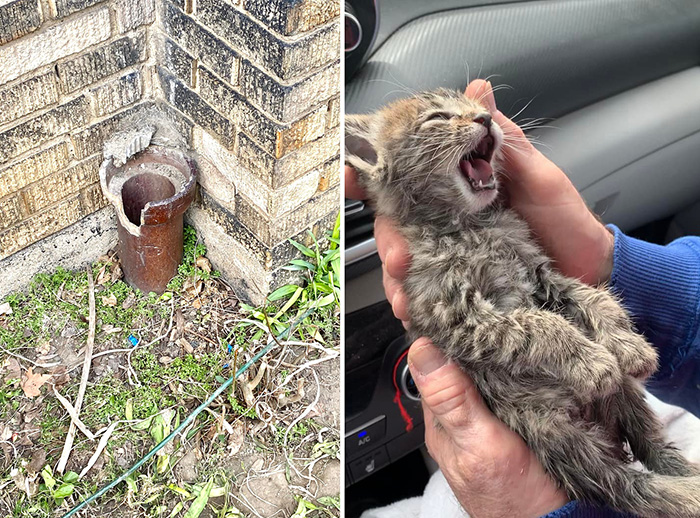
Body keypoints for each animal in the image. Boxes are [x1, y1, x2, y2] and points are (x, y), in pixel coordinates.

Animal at [346, 89, 700, 518]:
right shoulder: (461, 317)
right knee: (625, 486)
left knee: (651, 447)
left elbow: (594, 297)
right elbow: (541, 325)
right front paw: (592, 362)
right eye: (437, 118)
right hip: (556, 435)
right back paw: (683, 491)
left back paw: (682, 473)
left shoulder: (542, 274)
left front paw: (627, 345)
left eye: (472, 105)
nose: (485, 118)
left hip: (623, 401)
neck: (470, 225)